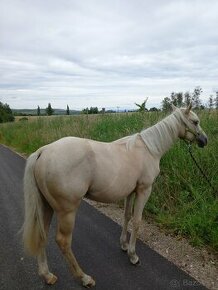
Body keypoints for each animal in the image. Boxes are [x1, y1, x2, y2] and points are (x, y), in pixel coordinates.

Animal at [22, 103, 208, 286]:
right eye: (195, 122)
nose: (204, 140)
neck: (149, 149)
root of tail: (43, 151)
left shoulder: (130, 192)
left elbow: (126, 216)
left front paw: (124, 245)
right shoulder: (144, 190)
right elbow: (137, 221)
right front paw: (133, 256)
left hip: (46, 206)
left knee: (42, 235)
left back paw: (47, 275)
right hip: (67, 211)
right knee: (63, 242)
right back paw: (84, 278)